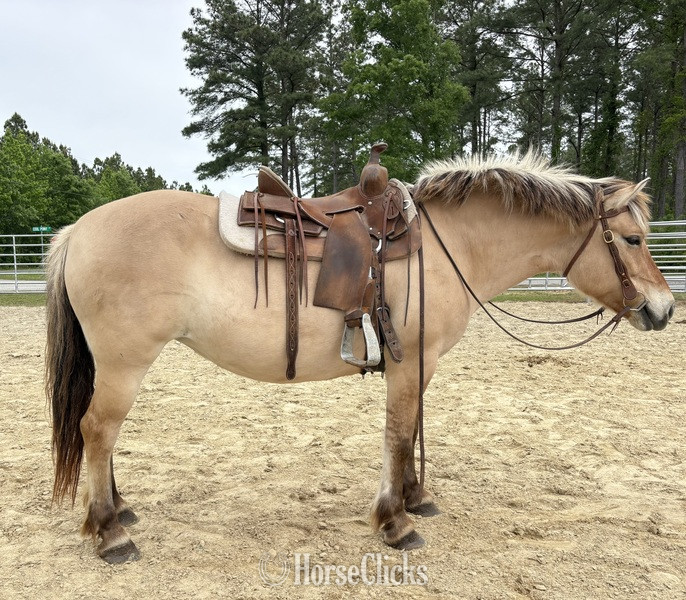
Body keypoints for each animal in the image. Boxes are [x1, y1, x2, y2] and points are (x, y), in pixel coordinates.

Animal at [45, 152, 675, 563]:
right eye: (634, 240)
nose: (664, 309)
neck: (448, 245)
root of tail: (78, 229)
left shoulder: (422, 364)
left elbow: (412, 427)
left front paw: (417, 498)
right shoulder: (409, 360)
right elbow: (397, 433)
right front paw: (394, 522)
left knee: (102, 435)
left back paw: (118, 510)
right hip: (125, 364)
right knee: (97, 430)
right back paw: (109, 533)